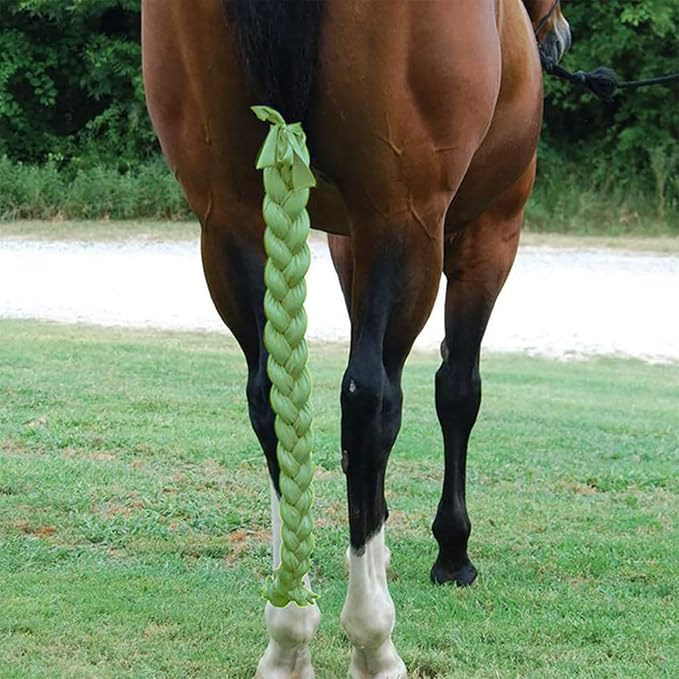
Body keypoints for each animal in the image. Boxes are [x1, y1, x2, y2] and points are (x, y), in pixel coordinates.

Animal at [141, 1, 571, 676]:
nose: (556, 39)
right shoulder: (491, 230)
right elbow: (457, 390)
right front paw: (452, 551)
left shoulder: (343, 241)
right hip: (404, 216)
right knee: (371, 401)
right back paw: (373, 638)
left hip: (229, 219)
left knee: (271, 400)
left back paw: (289, 632)